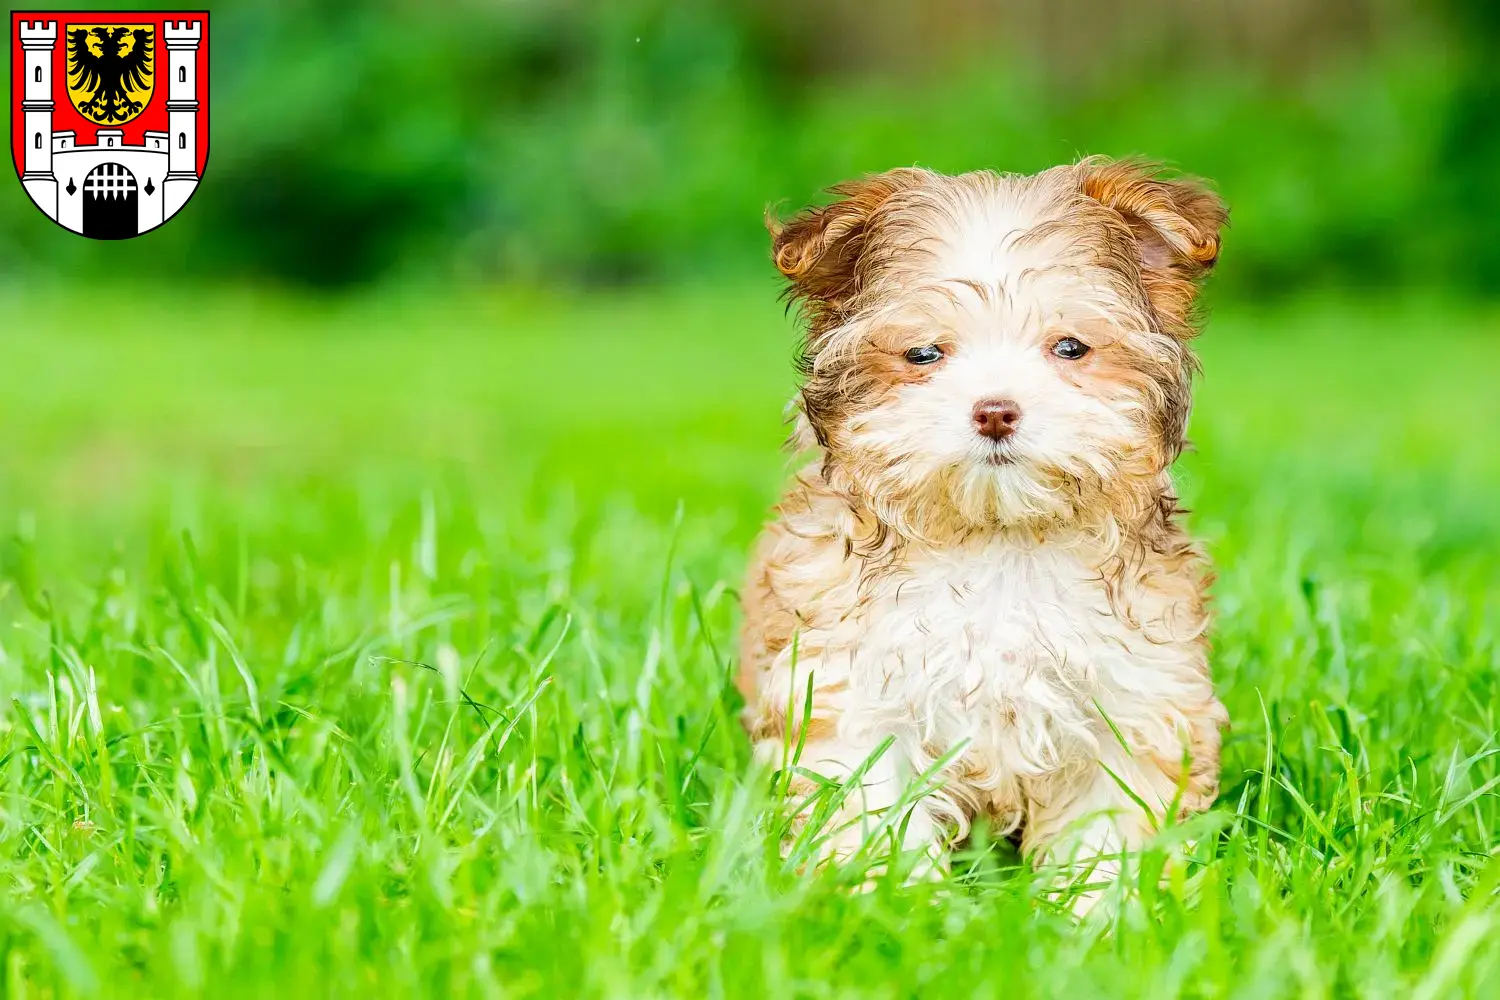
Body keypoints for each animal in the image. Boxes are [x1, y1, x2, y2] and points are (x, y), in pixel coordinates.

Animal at [738, 158, 1230, 899]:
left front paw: (1095, 909)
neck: (999, 539)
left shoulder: (1132, 698)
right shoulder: (856, 693)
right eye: (922, 354)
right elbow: (872, 809)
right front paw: (891, 903)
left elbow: (1108, 823)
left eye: (1070, 347)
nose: (995, 411)